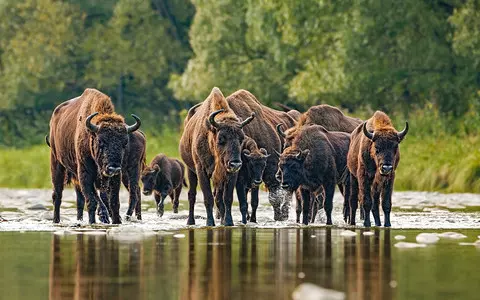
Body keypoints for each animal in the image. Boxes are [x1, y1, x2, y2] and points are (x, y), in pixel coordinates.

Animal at [48, 88, 141, 224]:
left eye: (125, 143)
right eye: (101, 141)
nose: (113, 168)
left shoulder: (115, 177)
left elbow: (114, 202)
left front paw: (116, 221)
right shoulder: (85, 173)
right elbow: (91, 201)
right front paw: (96, 219)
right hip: (56, 163)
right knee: (57, 195)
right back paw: (56, 220)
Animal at [179, 88, 255, 226]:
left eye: (241, 139)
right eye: (221, 139)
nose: (235, 163)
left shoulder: (229, 174)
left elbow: (227, 198)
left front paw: (228, 222)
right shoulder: (201, 171)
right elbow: (208, 197)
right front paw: (210, 222)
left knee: (219, 198)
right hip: (190, 171)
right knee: (192, 195)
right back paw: (190, 221)